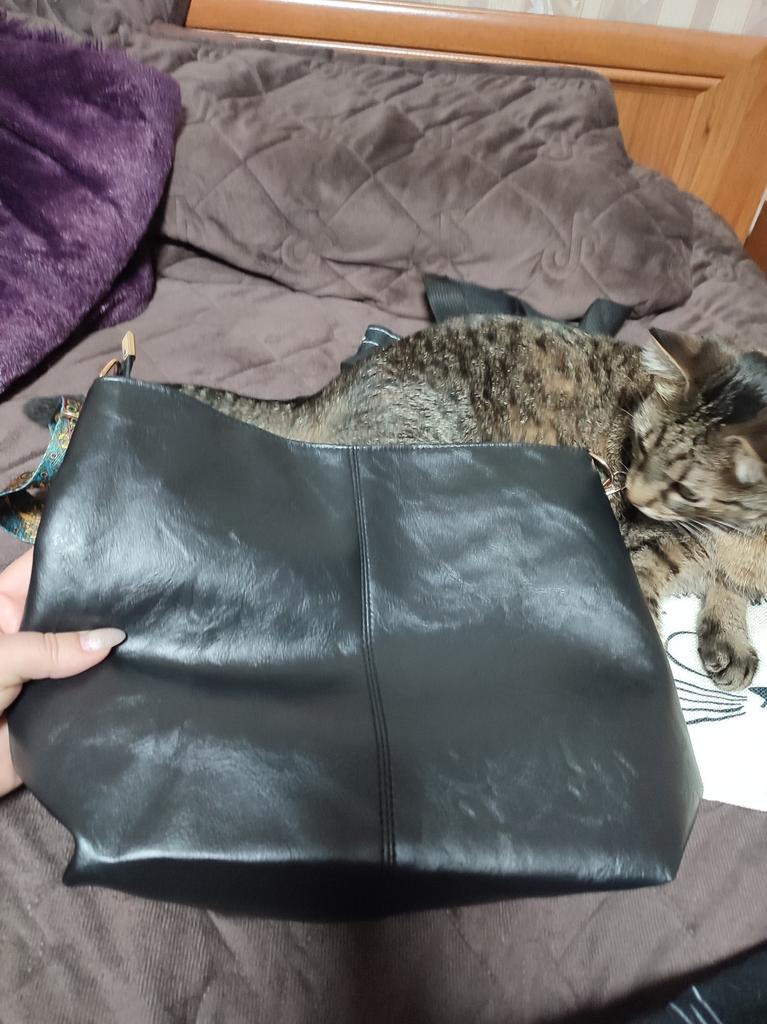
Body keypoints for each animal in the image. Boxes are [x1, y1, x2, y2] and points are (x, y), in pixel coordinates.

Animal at [25, 317, 767, 689]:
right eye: (637, 445)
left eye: (680, 484)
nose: (625, 492)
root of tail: (341, 383)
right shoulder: (637, 550)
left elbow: (728, 588)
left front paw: (728, 638)